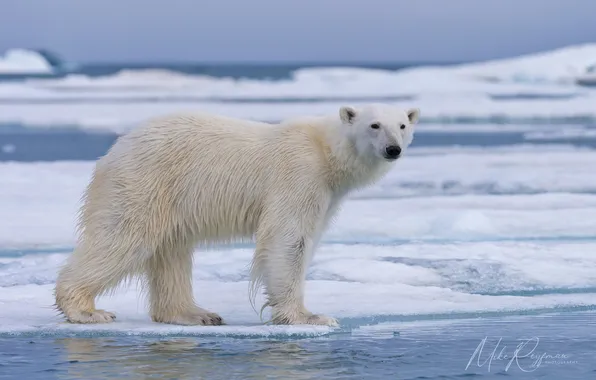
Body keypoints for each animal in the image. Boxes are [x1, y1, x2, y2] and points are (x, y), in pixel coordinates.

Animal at [54, 104, 420, 326]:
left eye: (402, 125)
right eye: (374, 125)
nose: (393, 149)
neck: (326, 152)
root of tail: (113, 151)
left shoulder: (327, 194)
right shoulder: (299, 175)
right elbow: (288, 239)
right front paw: (309, 317)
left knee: (171, 251)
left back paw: (195, 314)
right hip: (144, 183)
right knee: (123, 238)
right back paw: (85, 310)